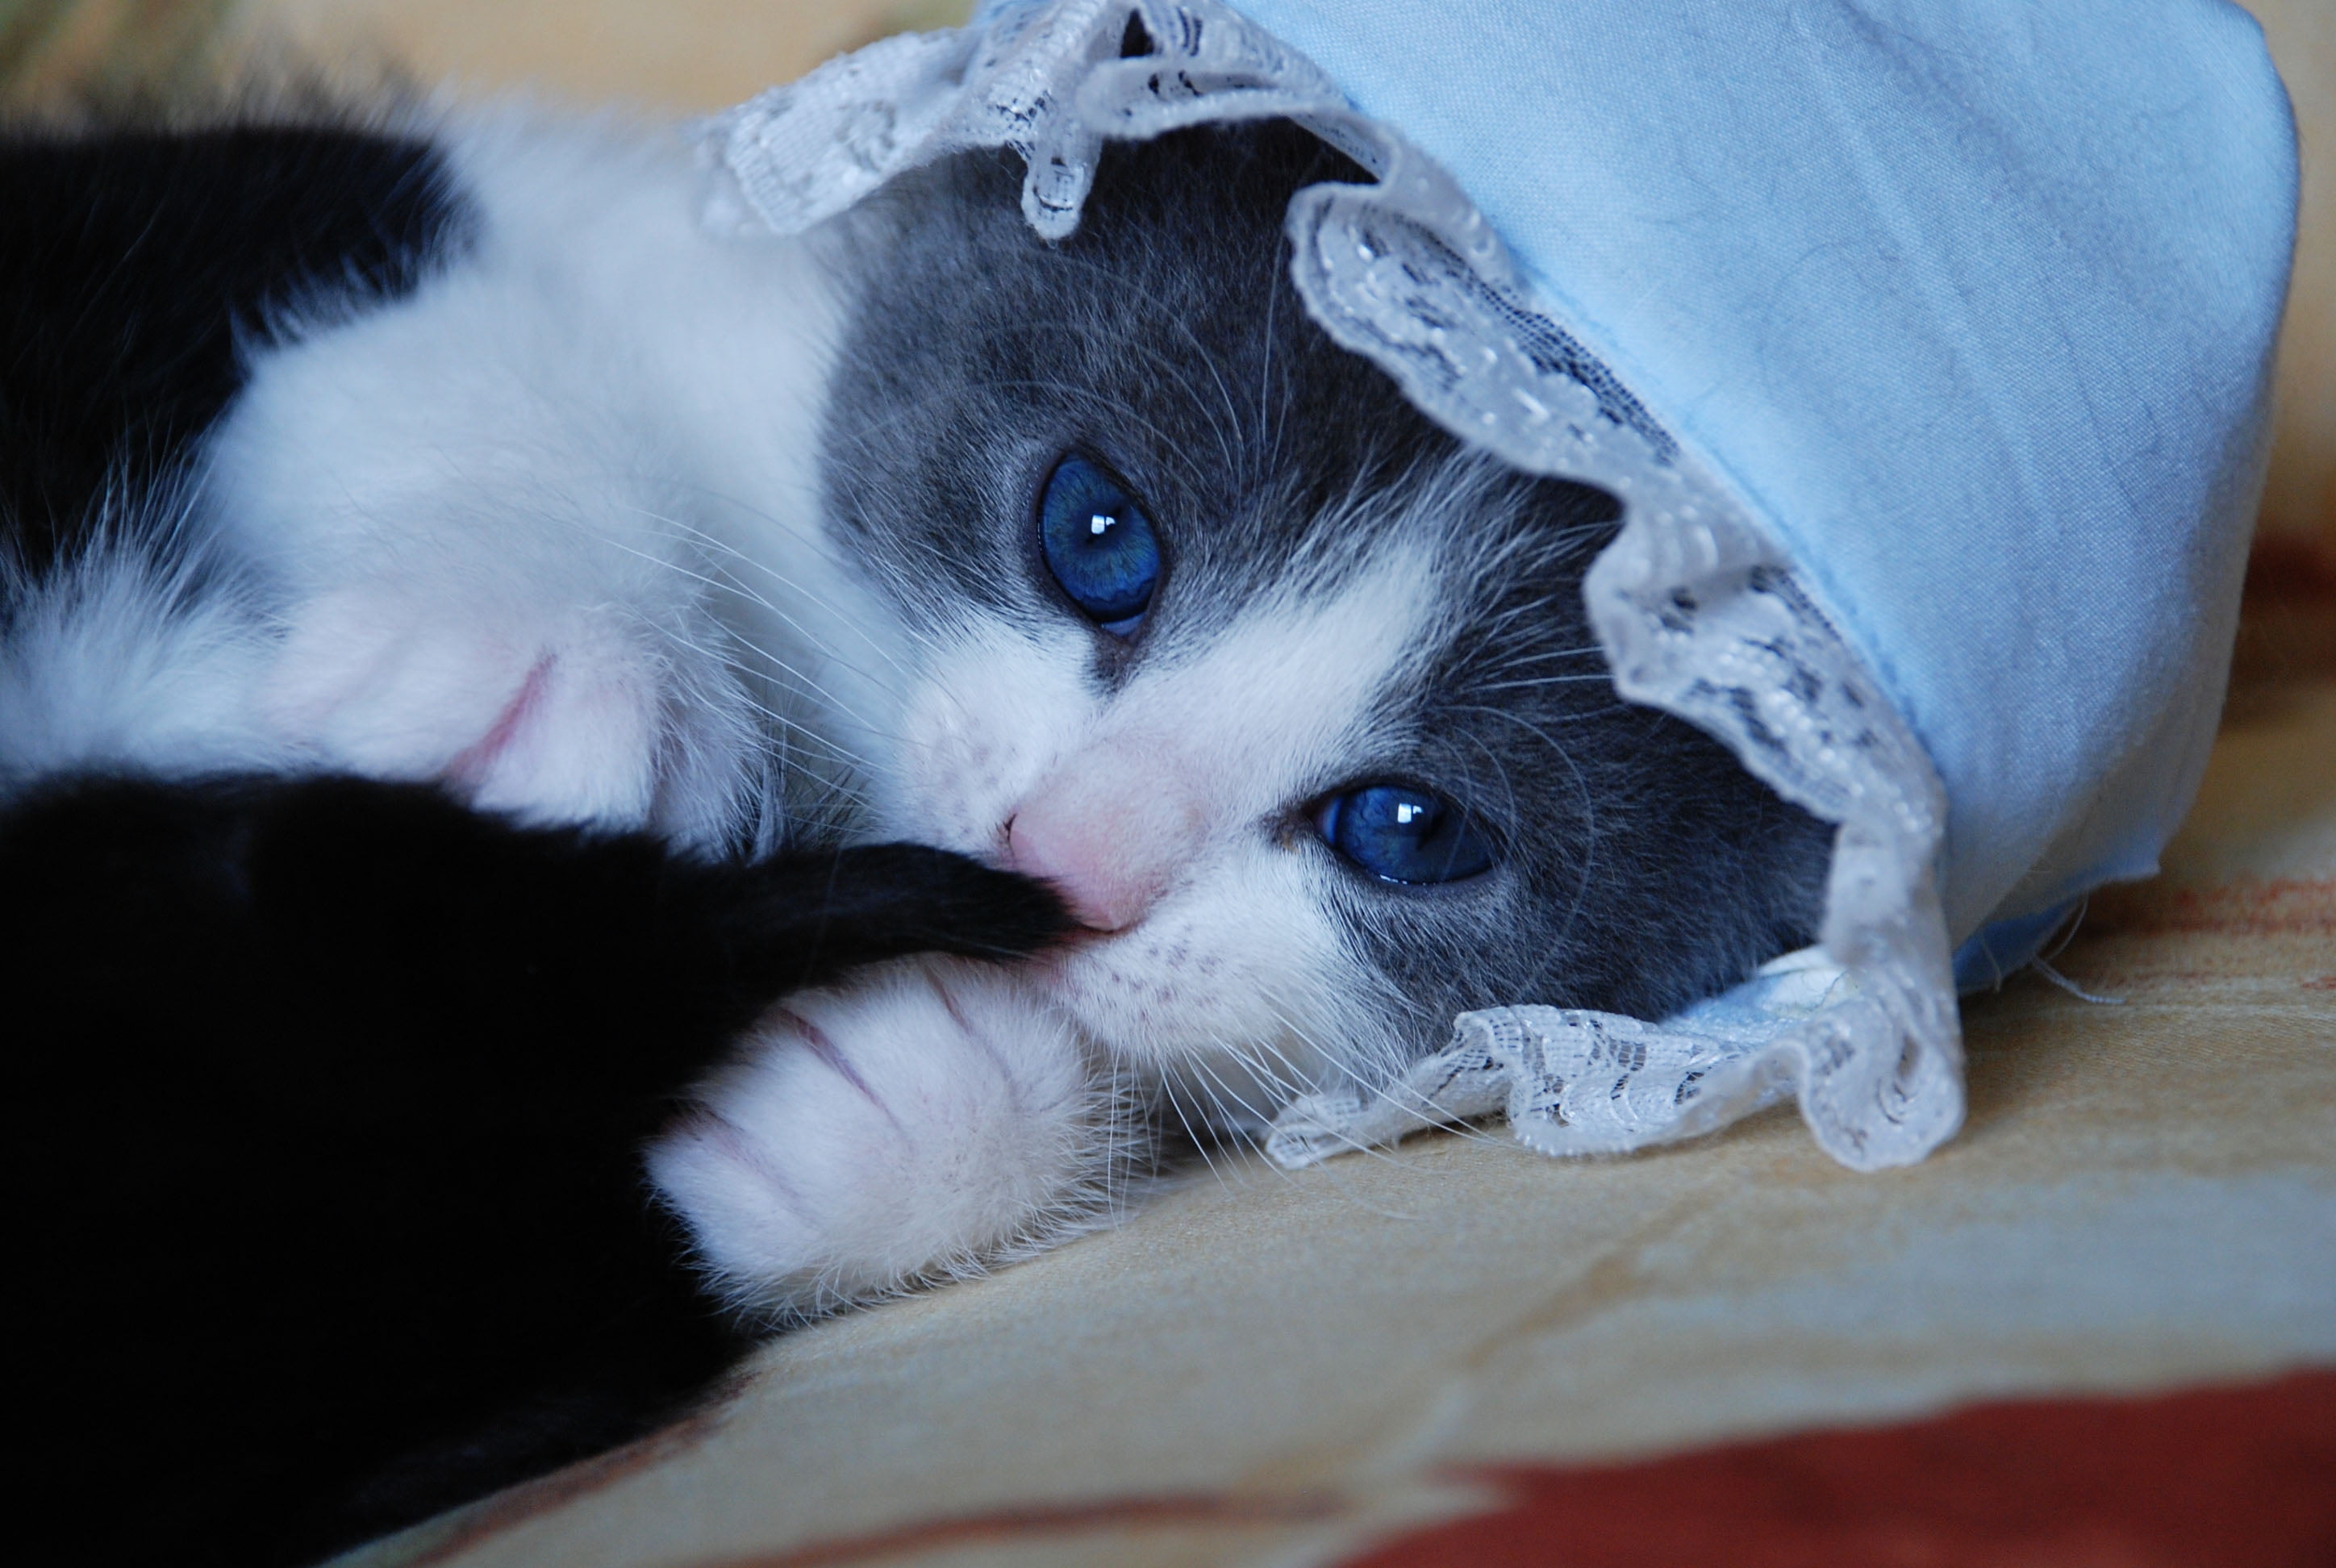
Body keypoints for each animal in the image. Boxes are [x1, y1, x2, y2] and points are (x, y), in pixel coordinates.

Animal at [0, 98, 1821, 1561]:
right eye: (1097, 531)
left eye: (1406, 826)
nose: (1066, 855)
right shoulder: (305, 203)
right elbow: (397, 294)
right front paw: (529, 652)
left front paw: (848, 1099)